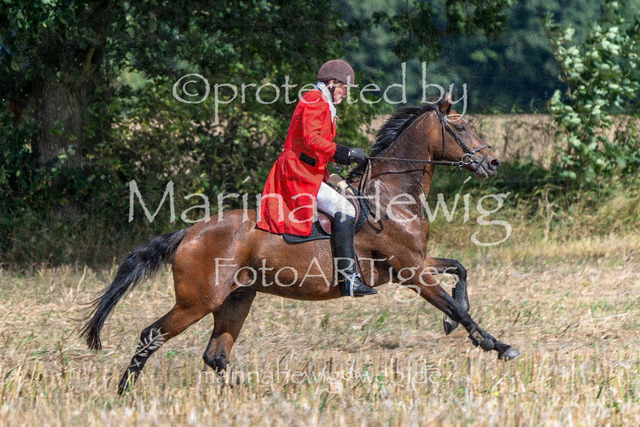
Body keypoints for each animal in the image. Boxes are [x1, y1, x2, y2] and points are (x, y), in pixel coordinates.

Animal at [81, 91, 520, 394]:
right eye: (460, 127)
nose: (493, 163)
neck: (390, 194)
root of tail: (189, 233)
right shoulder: (410, 269)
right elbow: (455, 303)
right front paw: (496, 345)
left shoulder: (414, 263)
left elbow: (460, 271)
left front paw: (456, 324)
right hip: (197, 302)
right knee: (152, 335)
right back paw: (124, 391)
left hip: (236, 299)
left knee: (216, 355)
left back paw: (255, 394)